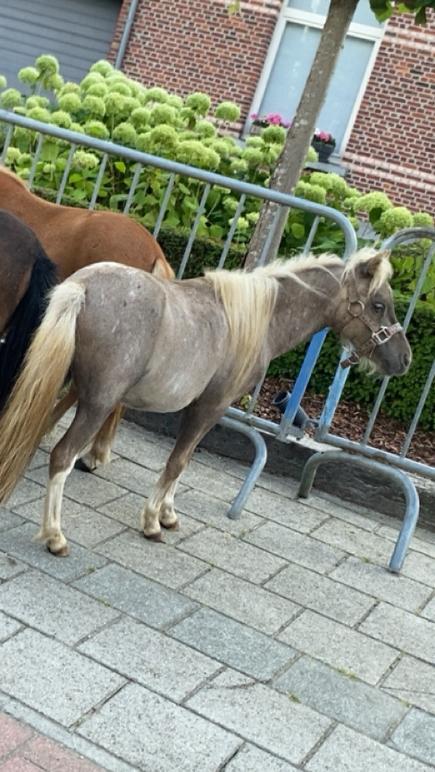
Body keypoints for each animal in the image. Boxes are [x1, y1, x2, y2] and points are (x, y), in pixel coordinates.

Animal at [0, 247, 411, 557]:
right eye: (378, 305)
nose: (404, 359)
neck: (254, 320)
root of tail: (81, 287)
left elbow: (186, 460)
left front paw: (167, 514)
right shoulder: (210, 406)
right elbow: (178, 461)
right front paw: (152, 521)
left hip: (64, 386)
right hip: (96, 404)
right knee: (62, 456)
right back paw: (55, 536)